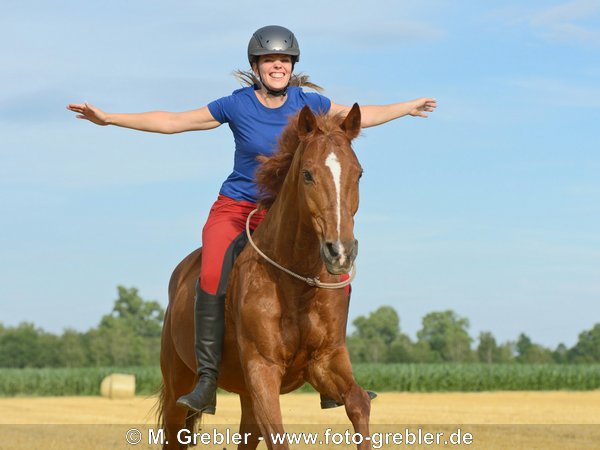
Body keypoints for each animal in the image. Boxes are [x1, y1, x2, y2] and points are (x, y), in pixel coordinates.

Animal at [157, 103, 370, 448]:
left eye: (358, 173)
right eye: (307, 174)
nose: (340, 251)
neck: (295, 283)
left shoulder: (326, 362)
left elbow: (359, 402)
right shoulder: (263, 371)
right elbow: (278, 437)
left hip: (245, 396)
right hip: (179, 385)